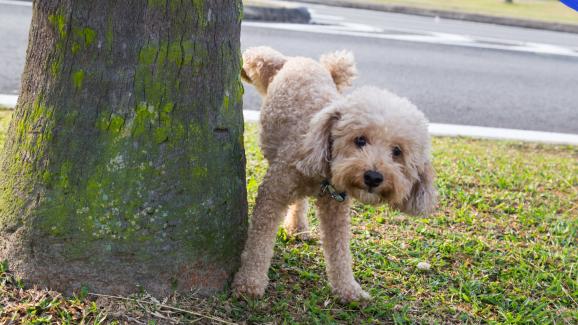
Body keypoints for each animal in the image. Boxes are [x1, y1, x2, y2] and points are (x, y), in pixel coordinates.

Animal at [232, 46, 434, 302]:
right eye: (360, 140)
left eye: (397, 151)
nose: (373, 177)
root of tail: (300, 60)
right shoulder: (273, 192)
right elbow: (259, 241)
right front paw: (250, 282)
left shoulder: (336, 207)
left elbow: (339, 250)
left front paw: (348, 289)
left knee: (299, 202)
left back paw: (298, 227)